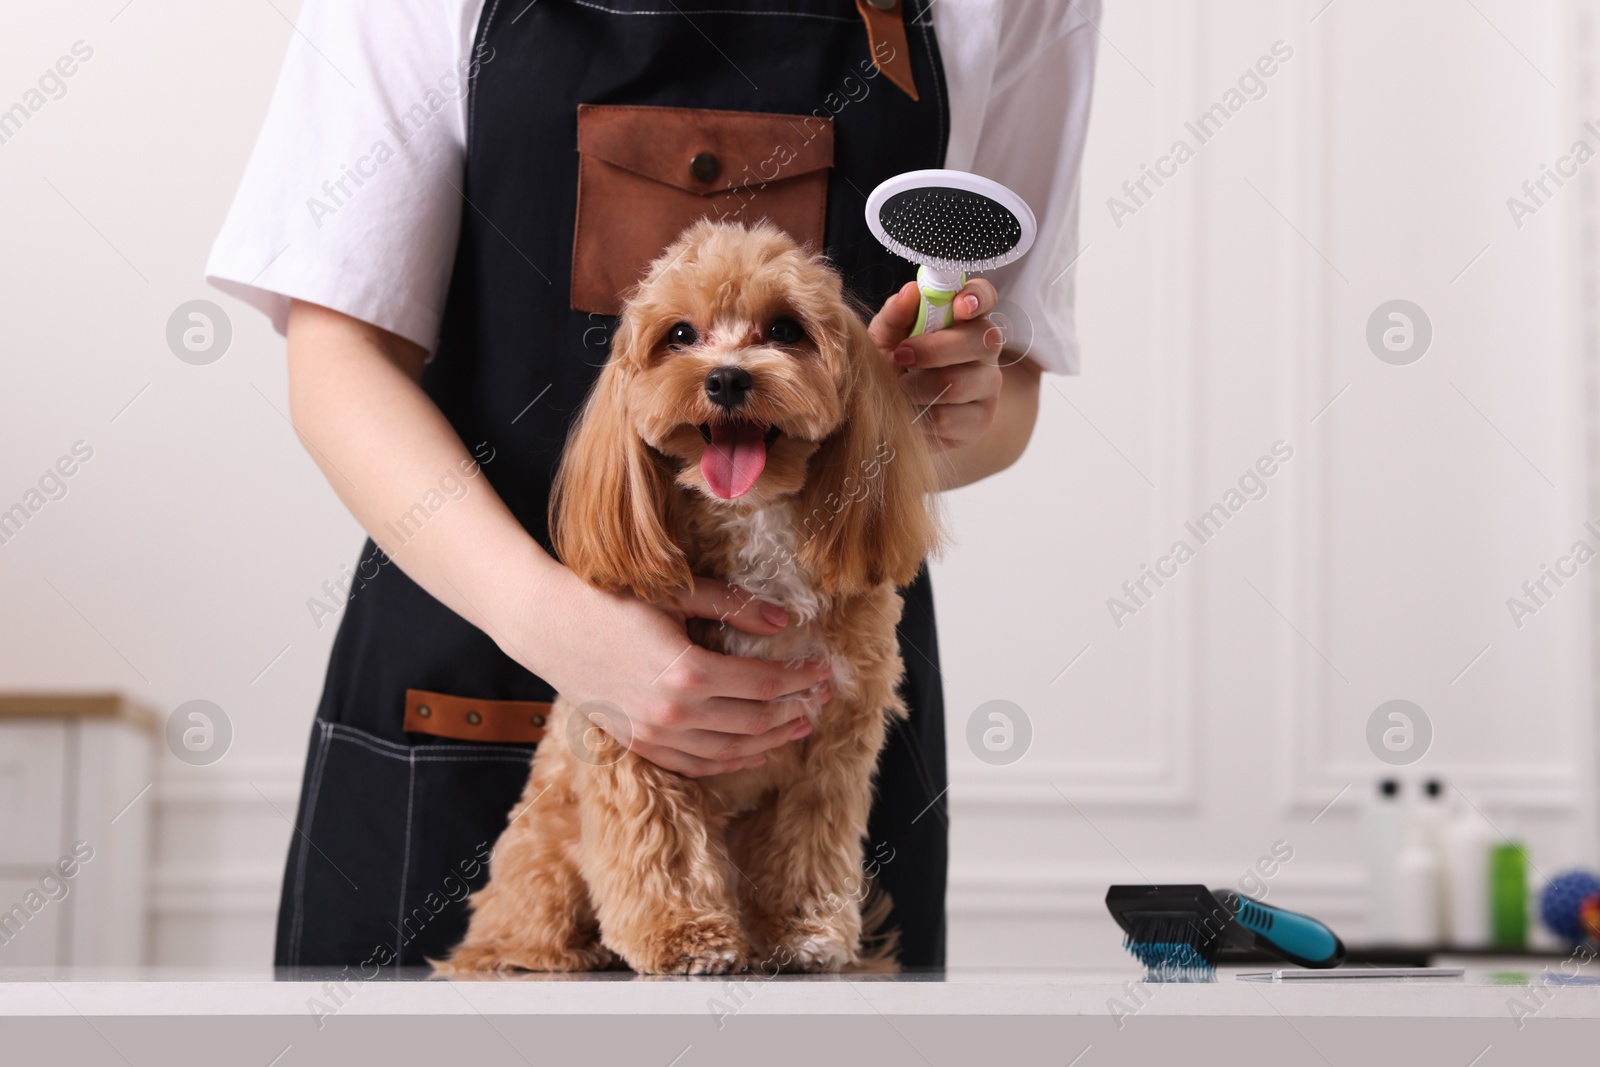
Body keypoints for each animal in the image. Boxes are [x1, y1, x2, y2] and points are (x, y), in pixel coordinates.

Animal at [441, 217, 934, 979]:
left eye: (785, 329)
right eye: (679, 335)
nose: (726, 377)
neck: (755, 522)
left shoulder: (834, 743)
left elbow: (810, 842)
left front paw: (805, 930)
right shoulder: (639, 737)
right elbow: (660, 842)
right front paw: (685, 935)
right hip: (545, 852)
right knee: (516, 924)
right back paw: (542, 952)